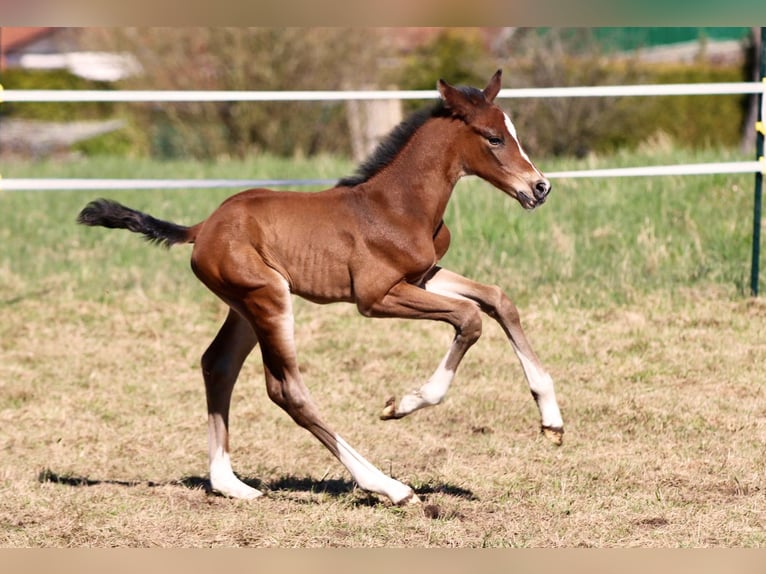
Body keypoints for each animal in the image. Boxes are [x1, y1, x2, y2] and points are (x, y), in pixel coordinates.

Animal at [77, 70, 564, 506]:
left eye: (511, 132)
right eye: (493, 138)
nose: (540, 187)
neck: (395, 204)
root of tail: (203, 228)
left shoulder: (423, 274)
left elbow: (498, 299)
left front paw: (552, 422)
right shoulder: (375, 297)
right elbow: (469, 318)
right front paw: (402, 405)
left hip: (246, 307)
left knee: (217, 365)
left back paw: (230, 484)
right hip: (268, 300)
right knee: (286, 391)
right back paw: (389, 487)